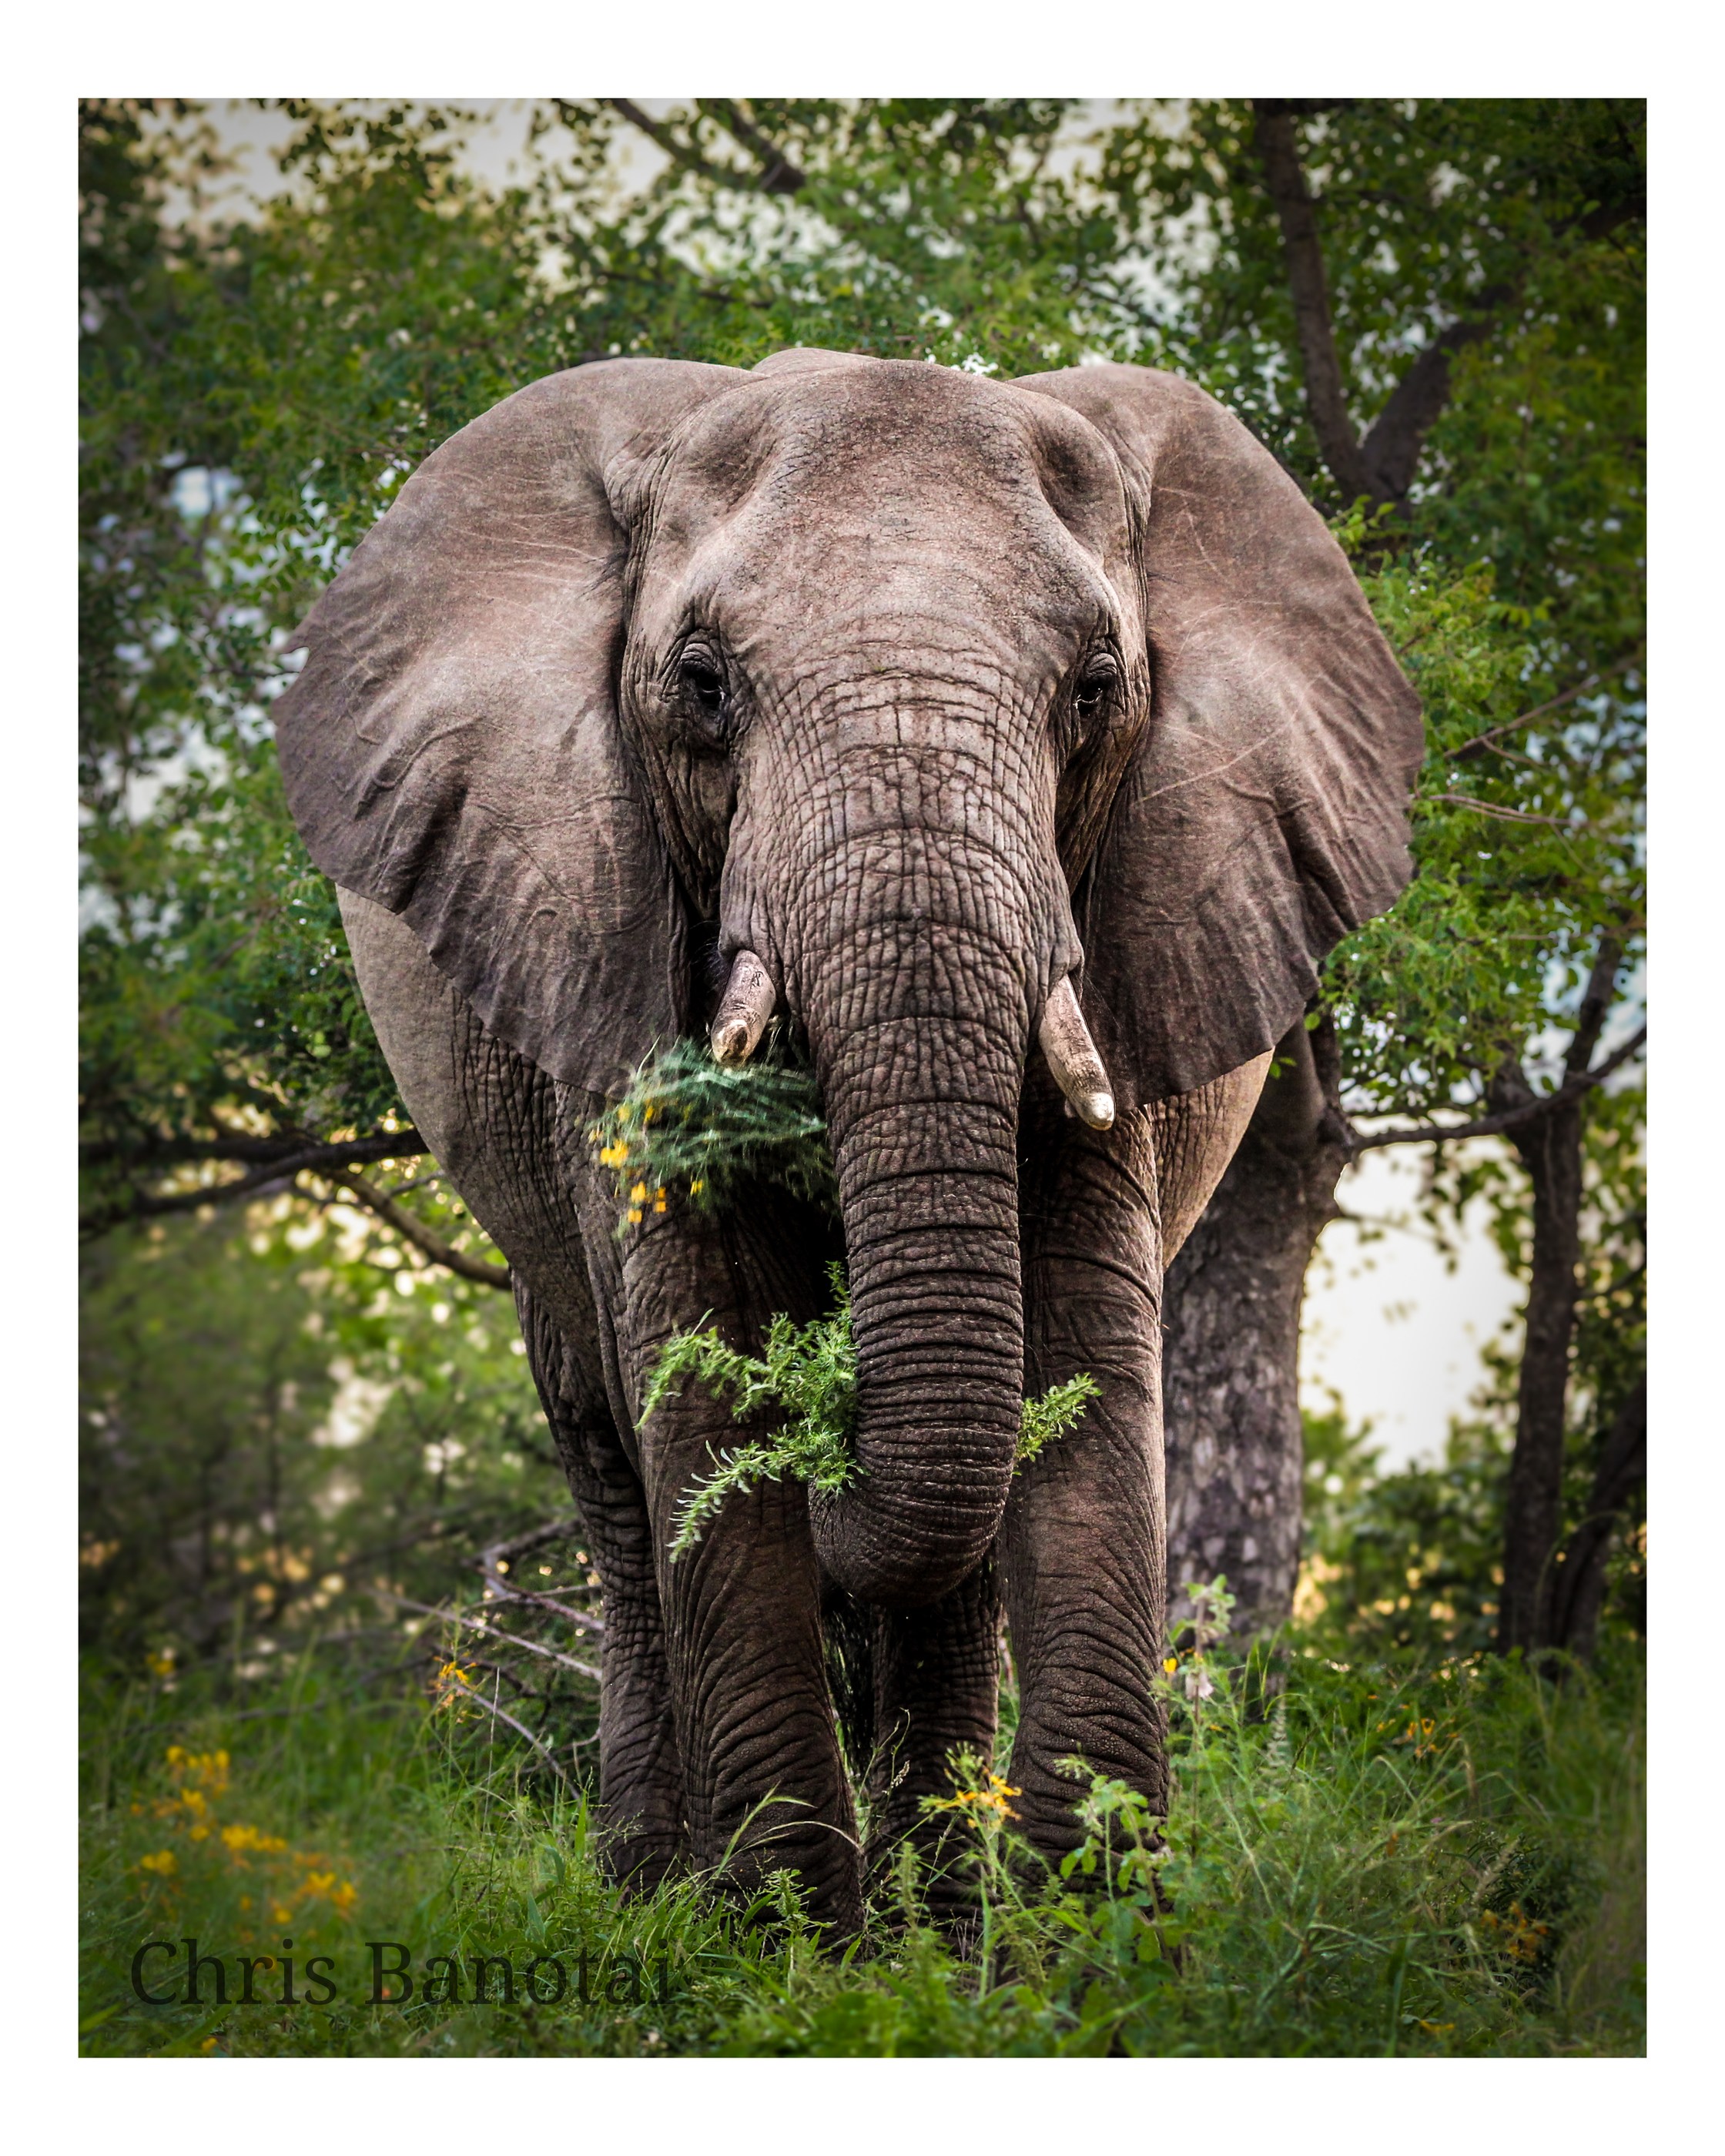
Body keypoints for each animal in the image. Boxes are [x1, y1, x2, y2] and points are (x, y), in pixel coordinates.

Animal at [273, 347, 1421, 1934]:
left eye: (1097, 690)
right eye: (702, 684)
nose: (841, 1420)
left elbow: (1078, 1348)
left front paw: (1081, 1937)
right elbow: (701, 1360)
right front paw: (779, 1942)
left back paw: (933, 1919)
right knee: (605, 1453)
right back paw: (665, 1891)